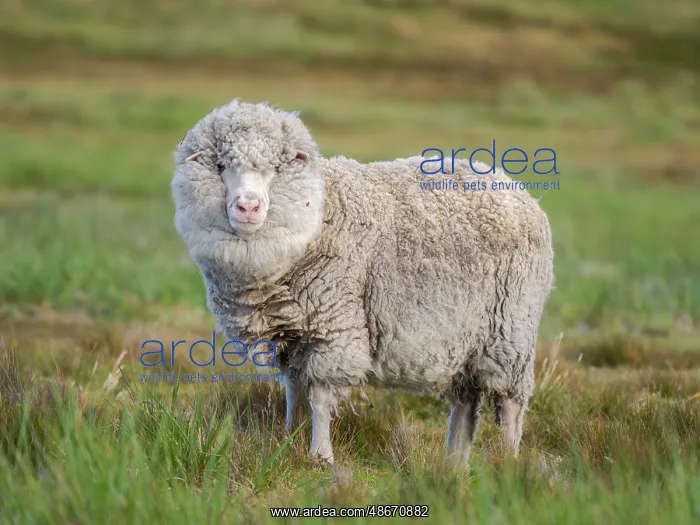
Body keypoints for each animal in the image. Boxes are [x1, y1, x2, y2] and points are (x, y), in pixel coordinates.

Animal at [171, 99, 554, 469]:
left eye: (276, 168)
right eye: (221, 166)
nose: (247, 207)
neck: (320, 216)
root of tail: (515, 188)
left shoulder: (333, 327)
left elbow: (320, 396)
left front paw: (320, 457)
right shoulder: (291, 337)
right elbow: (294, 392)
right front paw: (288, 441)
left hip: (509, 330)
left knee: (510, 402)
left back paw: (506, 461)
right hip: (465, 338)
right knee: (466, 402)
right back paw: (454, 463)